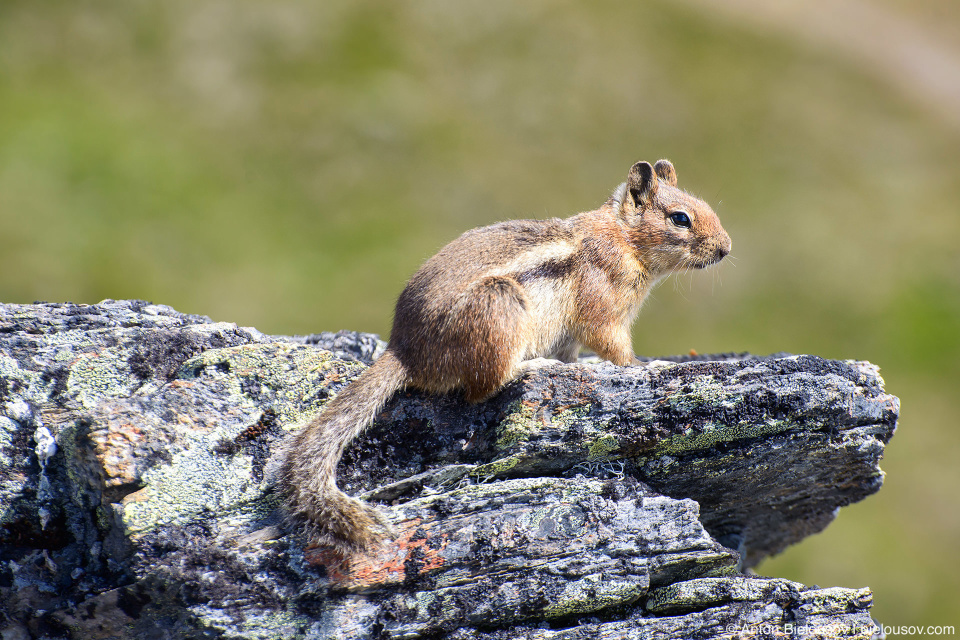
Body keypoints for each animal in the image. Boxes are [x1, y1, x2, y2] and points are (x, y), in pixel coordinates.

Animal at [282, 159, 732, 556]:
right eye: (680, 218)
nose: (726, 249)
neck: (623, 238)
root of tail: (406, 351)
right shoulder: (602, 305)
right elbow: (612, 344)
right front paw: (647, 366)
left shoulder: (569, 336)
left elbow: (576, 352)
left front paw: (586, 366)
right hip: (499, 306)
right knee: (484, 386)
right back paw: (533, 366)